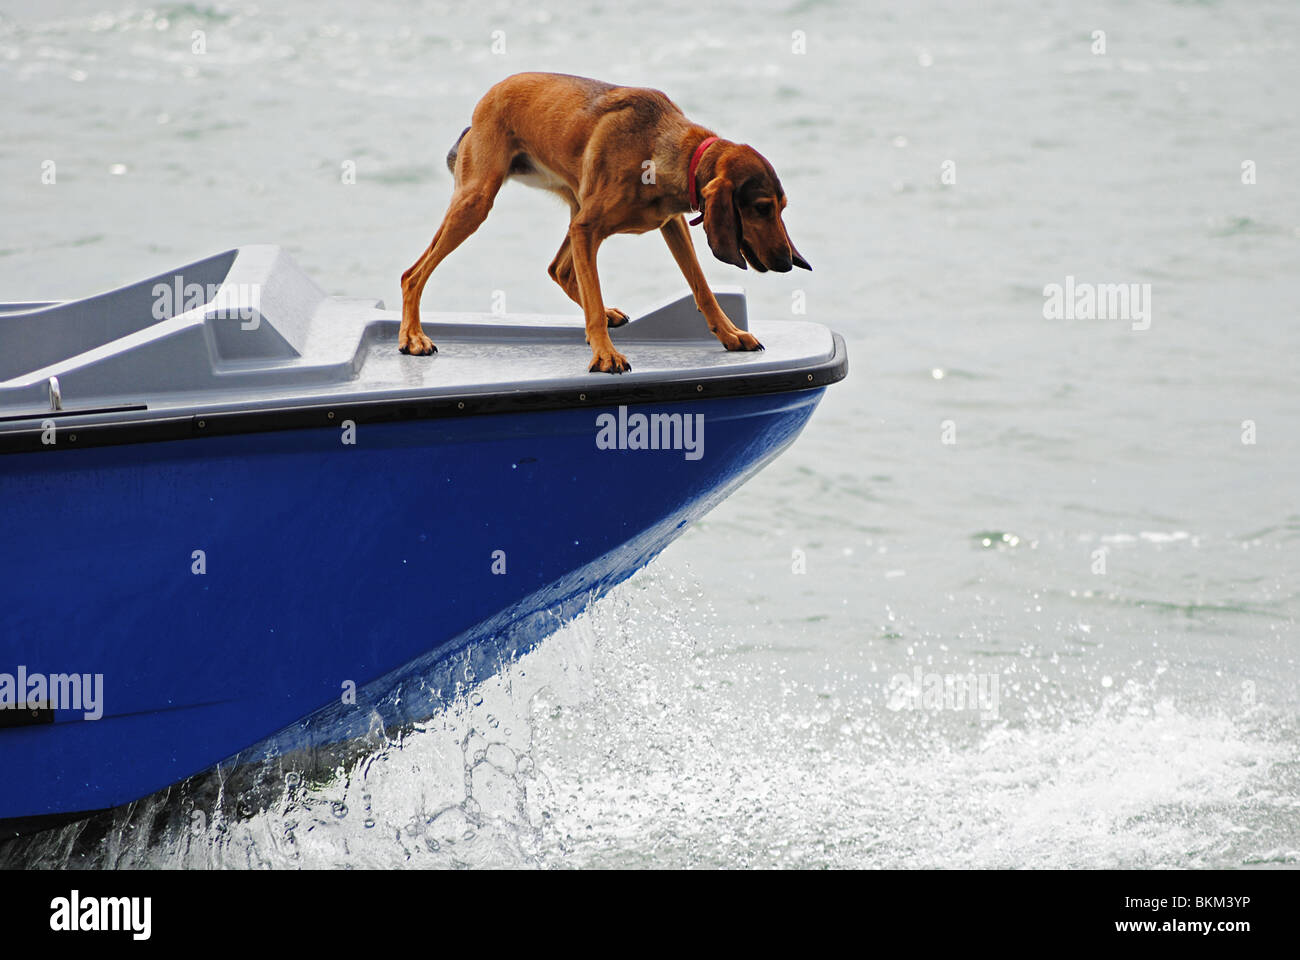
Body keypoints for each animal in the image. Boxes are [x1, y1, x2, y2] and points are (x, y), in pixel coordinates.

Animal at [395, 72, 806, 372]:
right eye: (762, 208)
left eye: (783, 207)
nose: (787, 263)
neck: (665, 147)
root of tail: (483, 103)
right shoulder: (588, 228)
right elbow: (593, 297)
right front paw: (605, 354)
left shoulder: (671, 224)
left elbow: (700, 286)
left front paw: (731, 333)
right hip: (477, 202)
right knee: (413, 274)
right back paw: (413, 337)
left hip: (573, 204)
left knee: (559, 269)